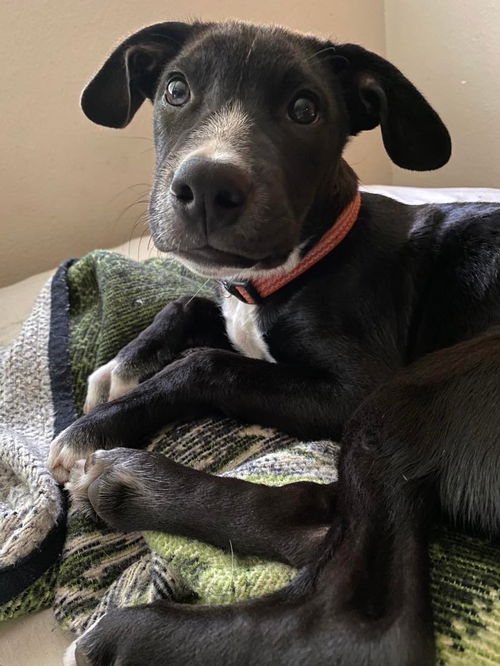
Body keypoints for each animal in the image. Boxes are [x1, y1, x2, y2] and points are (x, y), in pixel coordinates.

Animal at [51, 20, 500, 664]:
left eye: (304, 109)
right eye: (176, 90)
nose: (208, 185)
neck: (289, 268)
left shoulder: (355, 384)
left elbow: (207, 364)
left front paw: (97, 425)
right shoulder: (234, 315)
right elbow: (190, 305)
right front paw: (122, 367)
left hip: (409, 396)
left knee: (358, 626)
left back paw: (125, 632)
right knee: (315, 517)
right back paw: (130, 487)